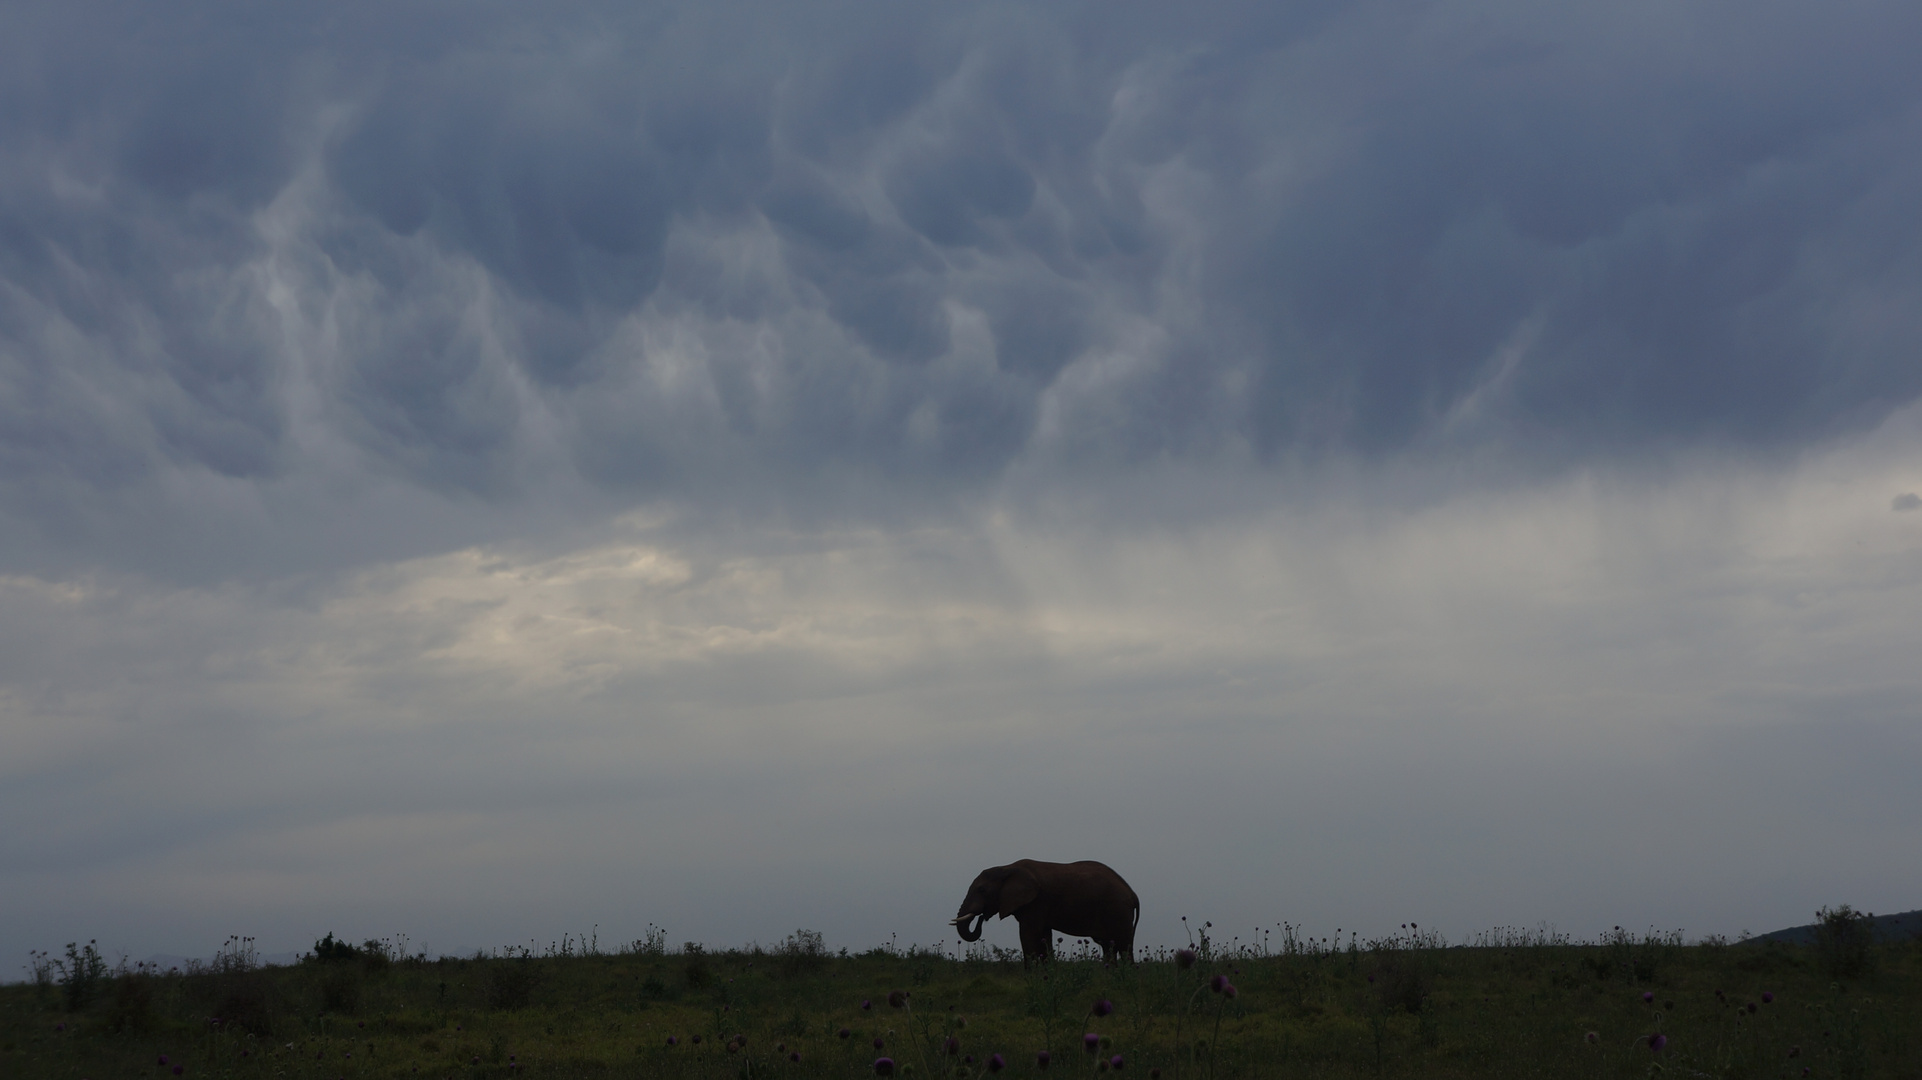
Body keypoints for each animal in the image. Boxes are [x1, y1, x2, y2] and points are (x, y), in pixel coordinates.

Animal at [949, 857, 1130, 957]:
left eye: (982, 890)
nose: (981, 917)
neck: (1007, 867)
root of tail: (1131, 893)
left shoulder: (1036, 902)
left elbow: (1028, 935)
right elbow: (1044, 936)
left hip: (1118, 910)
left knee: (1123, 946)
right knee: (1110, 946)